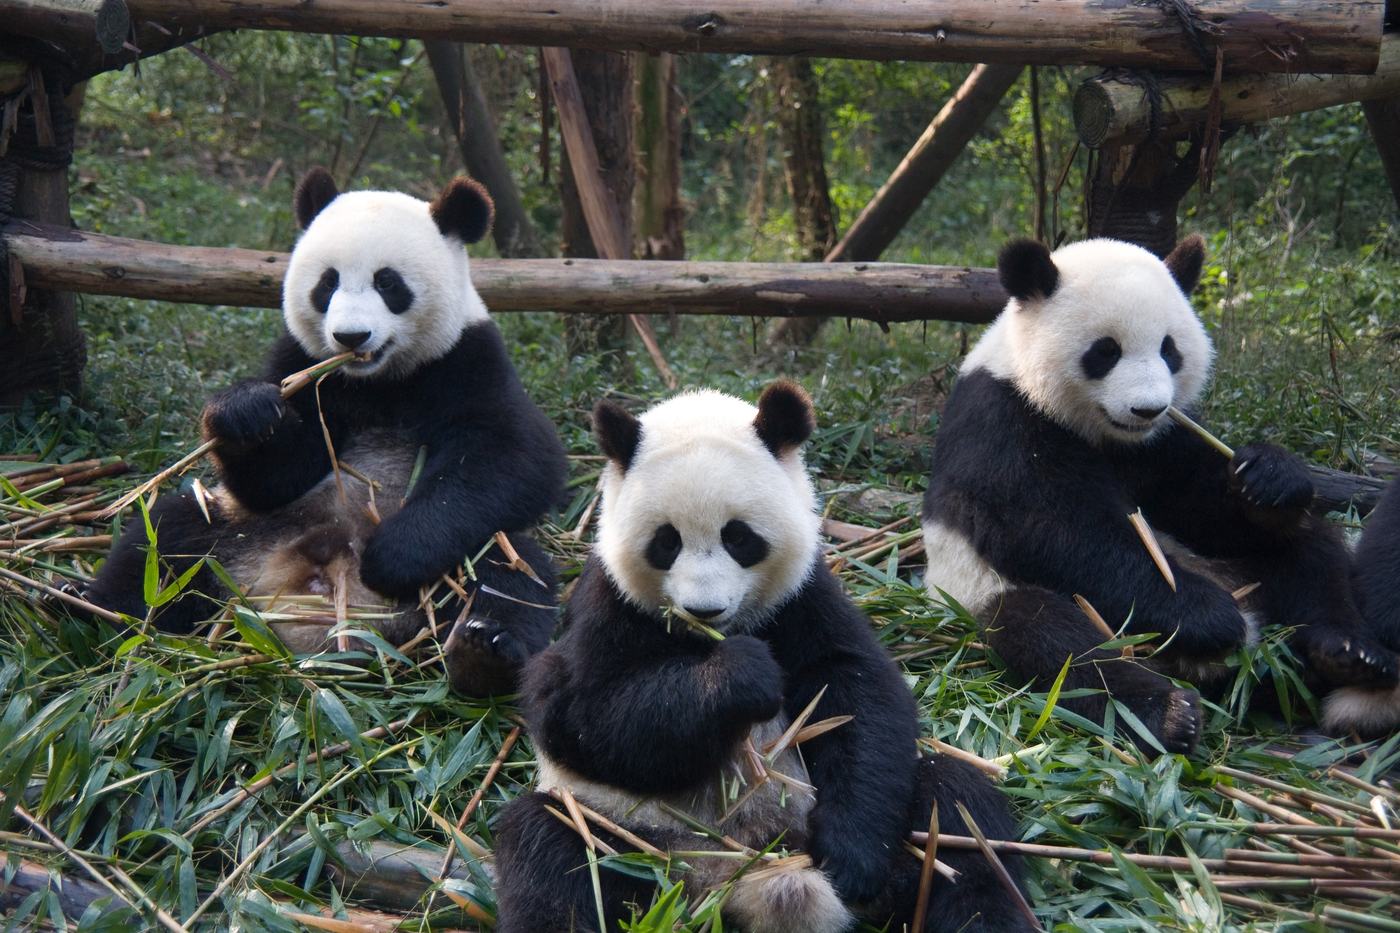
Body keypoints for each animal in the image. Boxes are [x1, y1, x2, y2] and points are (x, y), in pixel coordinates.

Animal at [84, 168, 568, 696]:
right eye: (327, 283)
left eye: (388, 282)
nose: (350, 337)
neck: (377, 380)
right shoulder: (306, 365)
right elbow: (276, 478)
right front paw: (246, 413)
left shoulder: (467, 359)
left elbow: (515, 457)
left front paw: (392, 556)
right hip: (239, 535)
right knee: (165, 539)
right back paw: (82, 609)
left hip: (463, 562)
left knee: (511, 572)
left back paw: (483, 652)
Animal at [492, 382, 1033, 933]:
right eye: (666, 542)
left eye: (738, 537)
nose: (704, 609)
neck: (708, 638)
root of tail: (739, 881)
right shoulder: (608, 604)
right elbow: (583, 714)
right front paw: (741, 676)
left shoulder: (803, 595)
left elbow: (856, 691)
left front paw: (852, 858)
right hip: (631, 836)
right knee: (552, 852)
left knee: (960, 813)